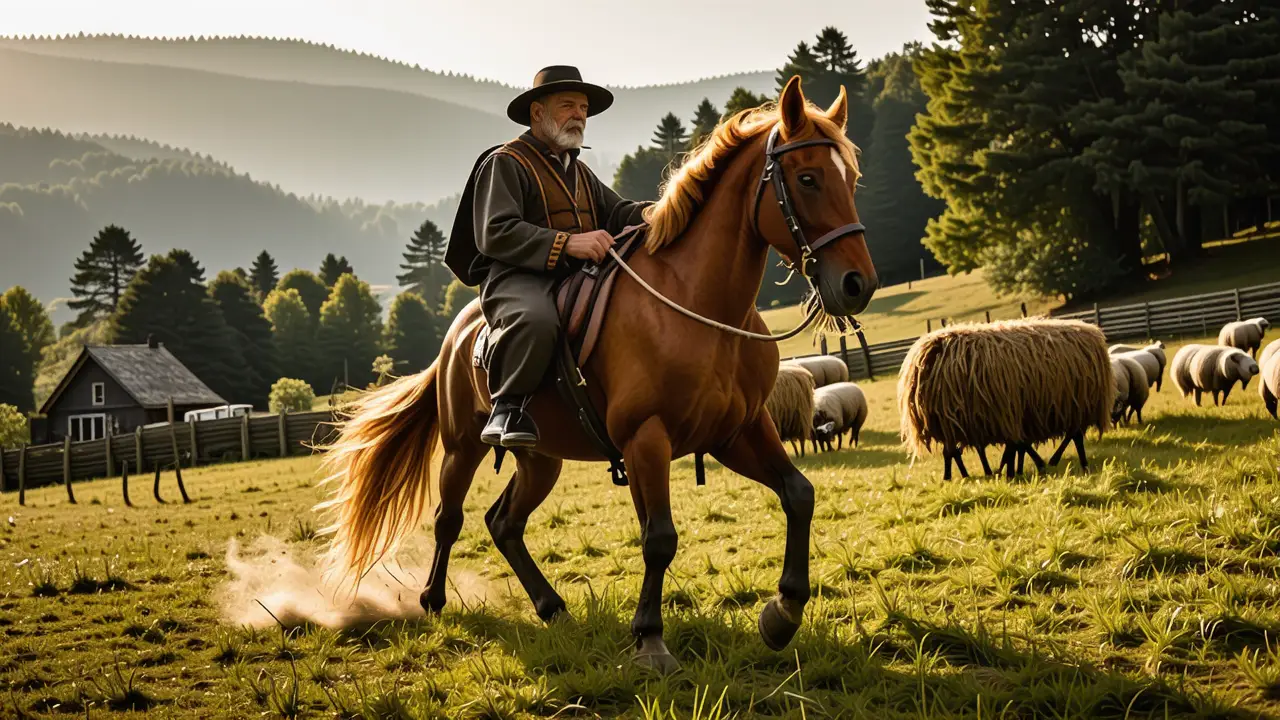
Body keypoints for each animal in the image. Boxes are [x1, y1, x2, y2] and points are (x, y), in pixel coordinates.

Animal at [315, 75, 879, 673]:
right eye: (808, 178)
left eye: (851, 178)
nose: (857, 284)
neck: (696, 304)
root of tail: (454, 338)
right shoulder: (647, 439)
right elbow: (659, 538)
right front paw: (650, 638)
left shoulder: (739, 431)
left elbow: (798, 494)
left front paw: (782, 612)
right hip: (462, 447)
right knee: (450, 518)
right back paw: (433, 599)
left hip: (541, 460)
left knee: (503, 522)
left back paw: (552, 607)